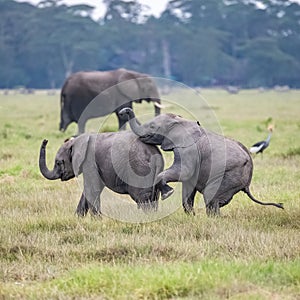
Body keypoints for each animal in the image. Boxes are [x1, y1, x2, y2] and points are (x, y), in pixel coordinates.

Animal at [119, 108, 284, 216]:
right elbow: (188, 187)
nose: (123, 111)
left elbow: (183, 172)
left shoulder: (188, 150)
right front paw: (191, 217)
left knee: (211, 197)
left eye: (153, 126)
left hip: (230, 174)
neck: (181, 120)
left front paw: (168, 193)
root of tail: (248, 182)